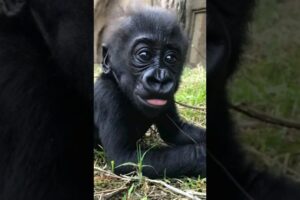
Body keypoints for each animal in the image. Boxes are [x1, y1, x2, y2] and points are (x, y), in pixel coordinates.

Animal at [94, 6, 206, 178]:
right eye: (144, 55)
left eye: (170, 58)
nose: (160, 79)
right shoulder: (106, 95)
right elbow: (122, 157)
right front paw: (205, 155)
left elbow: (175, 131)